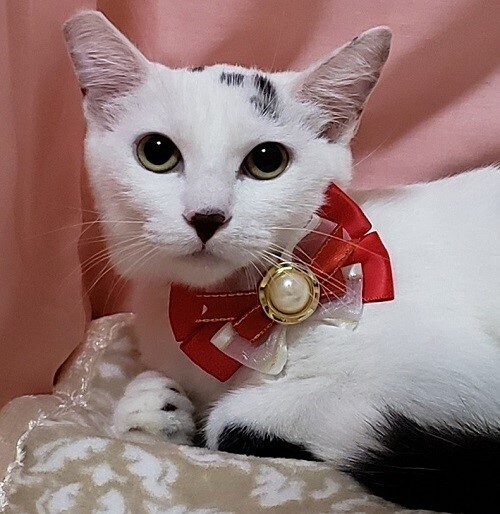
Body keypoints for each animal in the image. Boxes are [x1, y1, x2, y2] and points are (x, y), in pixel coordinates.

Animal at [64, 10, 500, 513]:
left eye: (267, 160)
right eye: (156, 152)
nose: (207, 215)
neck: (222, 311)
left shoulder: (462, 374)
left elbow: (233, 419)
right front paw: (153, 406)